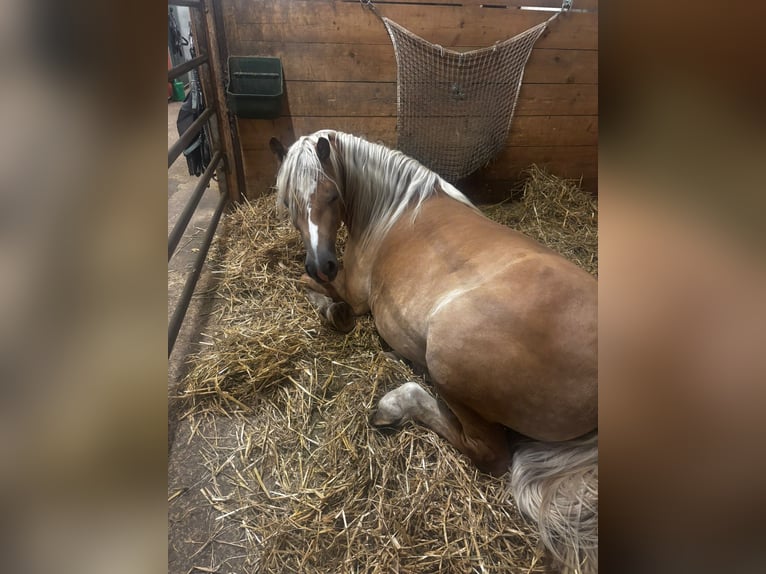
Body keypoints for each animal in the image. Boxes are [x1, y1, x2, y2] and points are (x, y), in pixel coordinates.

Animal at [270, 130, 598, 573]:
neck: (391, 209)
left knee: (487, 451)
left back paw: (394, 403)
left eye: (333, 195)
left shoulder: (352, 293)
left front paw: (330, 310)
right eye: (290, 203)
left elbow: (303, 283)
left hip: (446, 361)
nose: (323, 263)